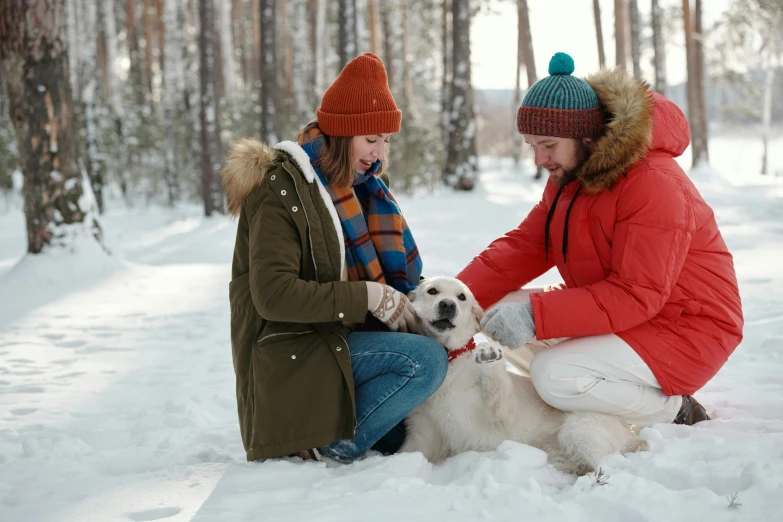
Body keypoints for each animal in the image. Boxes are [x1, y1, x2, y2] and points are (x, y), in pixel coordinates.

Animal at [402, 276, 648, 472]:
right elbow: (408, 452)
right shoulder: (423, 431)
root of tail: (628, 430)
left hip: (579, 431)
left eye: (461, 297)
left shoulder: (501, 412)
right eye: (432, 291)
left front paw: (487, 353)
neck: (451, 358)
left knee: (606, 469)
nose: (447, 305)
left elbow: (496, 384)